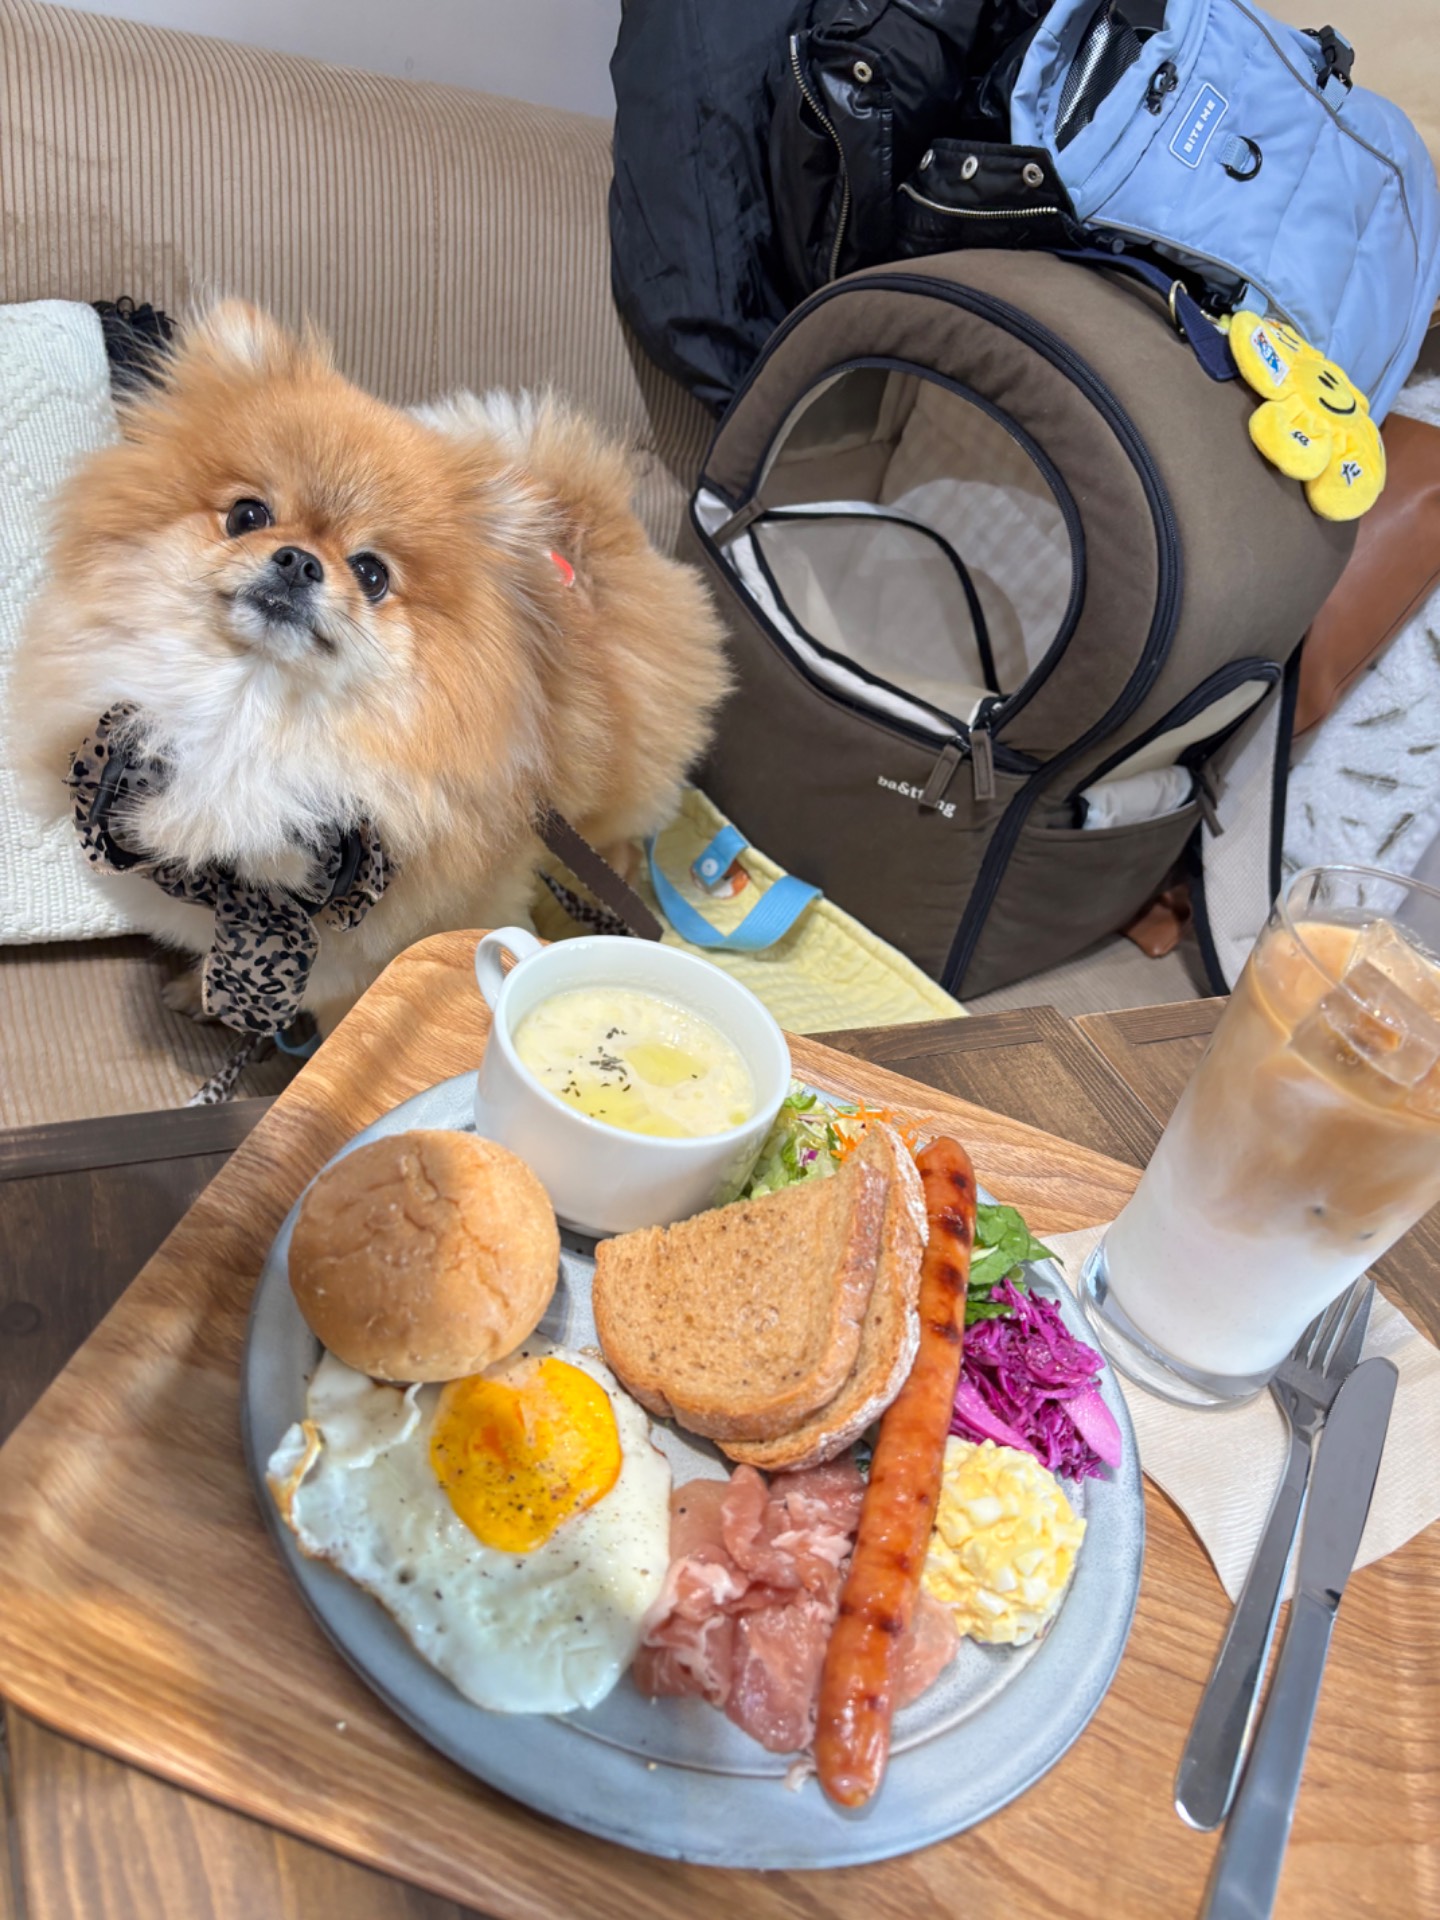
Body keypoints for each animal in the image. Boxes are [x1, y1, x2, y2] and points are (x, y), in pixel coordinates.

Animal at [13, 302, 730, 1034]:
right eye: (247, 515)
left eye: (372, 574)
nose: (299, 561)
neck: (251, 716)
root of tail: (597, 533)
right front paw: (200, 994)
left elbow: (344, 1011)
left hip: (607, 804)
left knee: (622, 847)